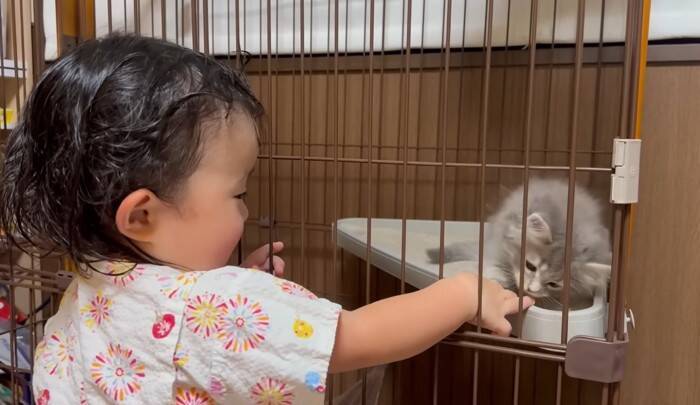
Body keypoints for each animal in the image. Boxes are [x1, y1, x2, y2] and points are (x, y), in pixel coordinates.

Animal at [427, 178, 612, 304]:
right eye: (530, 266)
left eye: (553, 284)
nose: (531, 289)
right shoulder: (499, 235)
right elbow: (494, 260)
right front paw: (497, 277)